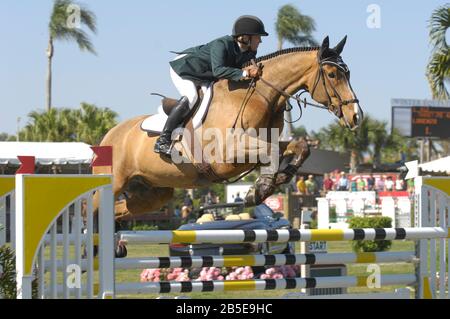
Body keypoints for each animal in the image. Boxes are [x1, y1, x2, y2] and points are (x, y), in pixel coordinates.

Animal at [94, 35, 362, 220]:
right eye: (332, 74)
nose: (356, 116)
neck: (259, 96)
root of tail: (109, 135)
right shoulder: (225, 156)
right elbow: (273, 152)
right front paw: (261, 189)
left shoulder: (264, 141)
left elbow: (299, 146)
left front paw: (274, 180)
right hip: (113, 184)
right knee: (93, 213)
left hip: (154, 192)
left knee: (118, 212)